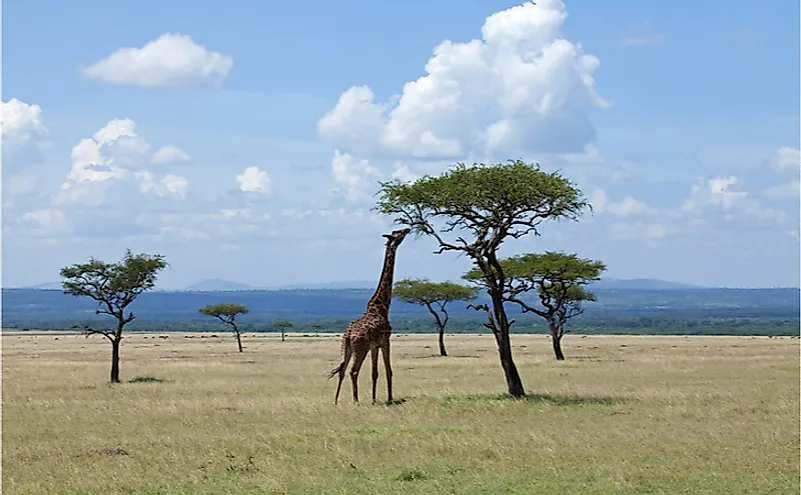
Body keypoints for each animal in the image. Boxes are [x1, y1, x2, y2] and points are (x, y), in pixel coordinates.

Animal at [326, 227, 410, 404]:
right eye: (398, 233)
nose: (408, 228)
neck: (382, 306)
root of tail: (348, 334)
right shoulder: (385, 341)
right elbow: (388, 371)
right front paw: (389, 399)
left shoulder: (374, 345)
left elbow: (374, 373)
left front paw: (374, 399)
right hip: (360, 348)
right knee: (353, 371)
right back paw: (356, 401)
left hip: (347, 347)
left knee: (342, 370)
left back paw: (336, 401)